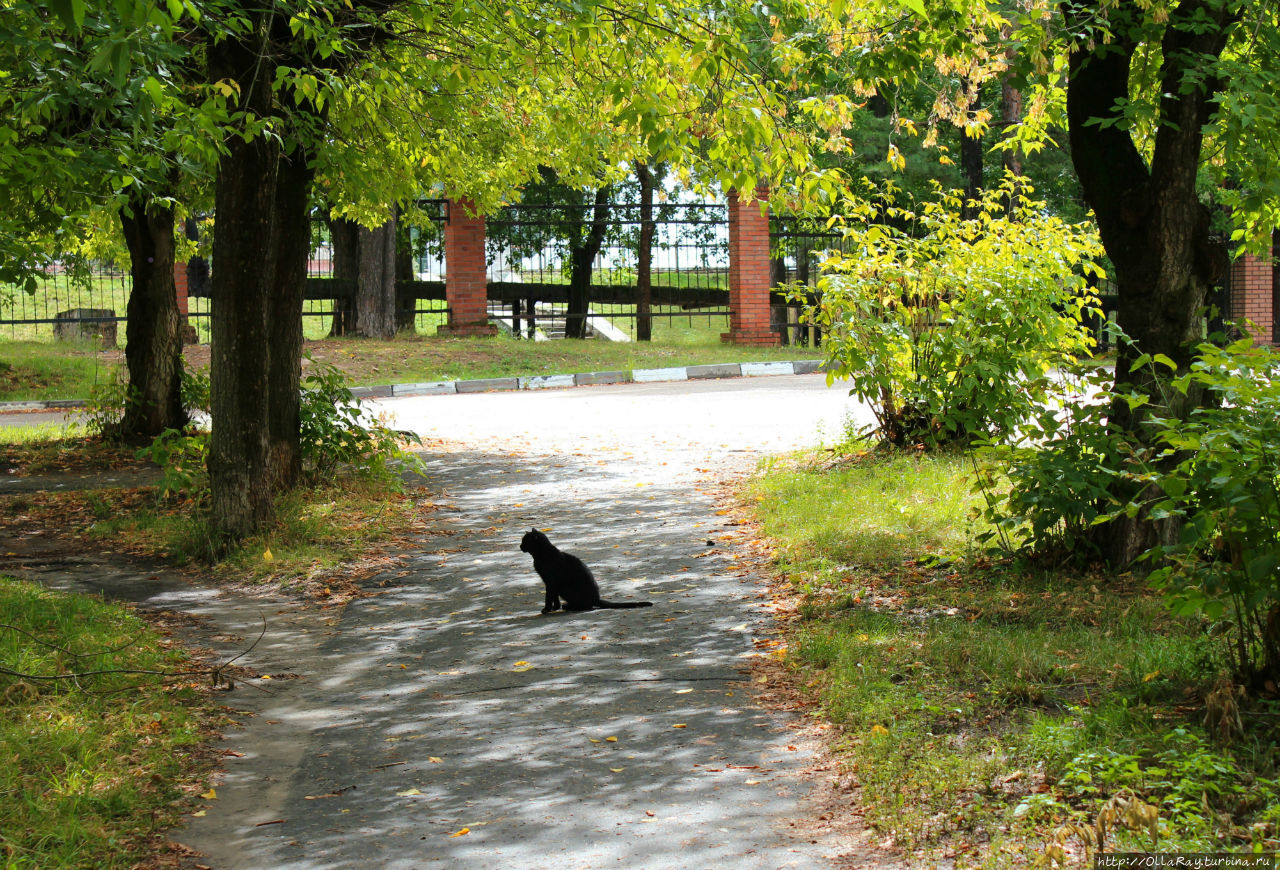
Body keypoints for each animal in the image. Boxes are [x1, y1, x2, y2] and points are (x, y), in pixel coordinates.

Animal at [519, 527, 660, 614]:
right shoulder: (550, 583)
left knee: (587, 606)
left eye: (525, 541)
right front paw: (554, 608)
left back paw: (569, 606)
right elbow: (554, 597)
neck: (542, 554)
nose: (519, 546)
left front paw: (547, 609)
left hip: (569, 589)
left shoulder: (550, 581)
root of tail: (596, 598)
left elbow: (548, 597)